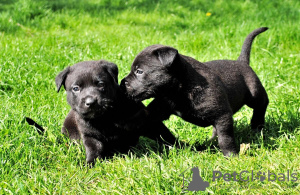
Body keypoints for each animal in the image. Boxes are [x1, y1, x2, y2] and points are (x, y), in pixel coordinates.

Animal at [121, 27, 270, 157]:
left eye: (139, 71)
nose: (123, 83)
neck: (179, 91)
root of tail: (241, 61)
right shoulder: (159, 107)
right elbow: (142, 115)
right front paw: (126, 124)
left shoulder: (222, 116)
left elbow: (225, 138)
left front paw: (231, 155)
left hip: (254, 93)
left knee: (262, 104)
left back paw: (257, 126)